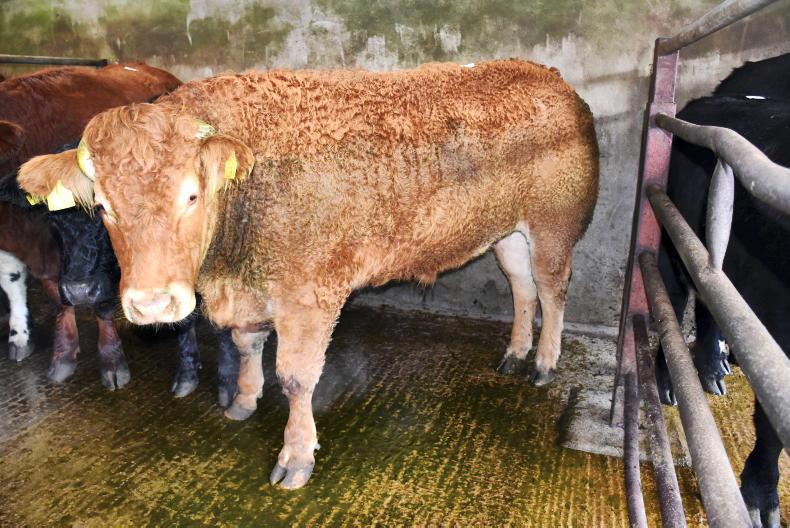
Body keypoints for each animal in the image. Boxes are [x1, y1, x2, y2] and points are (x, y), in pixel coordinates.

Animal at [18, 60, 599, 488]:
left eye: (191, 194)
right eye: (104, 206)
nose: (153, 305)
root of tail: (549, 76)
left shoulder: (309, 293)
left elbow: (297, 377)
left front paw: (296, 456)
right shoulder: (249, 290)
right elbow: (248, 347)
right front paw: (243, 401)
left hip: (553, 224)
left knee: (553, 289)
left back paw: (543, 362)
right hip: (506, 233)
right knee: (522, 288)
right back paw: (515, 353)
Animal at [657, 53, 790, 528]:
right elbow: (771, 422)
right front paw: (760, 507)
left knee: (710, 307)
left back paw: (713, 373)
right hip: (670, 239)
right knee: (675, 302)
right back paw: (670, 388)